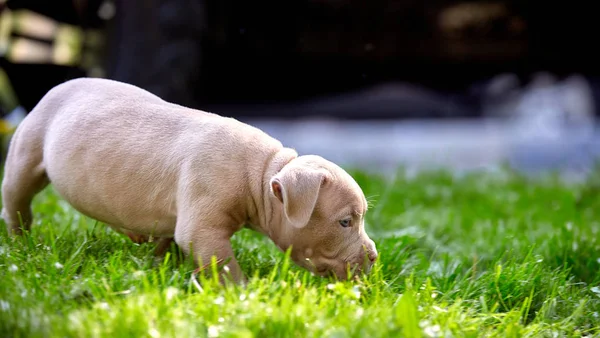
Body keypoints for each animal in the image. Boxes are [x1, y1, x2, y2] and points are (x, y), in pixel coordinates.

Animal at [0, 77, 378, 282]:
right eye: (345, 222)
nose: (374, 257)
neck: (261, 171)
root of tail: (59, 86)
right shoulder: (203, 227)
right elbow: (223, 265)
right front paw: (241, 294)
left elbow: (172, 244)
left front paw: (165, 263)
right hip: (26, 153)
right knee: (17, 200)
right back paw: (21, 242)